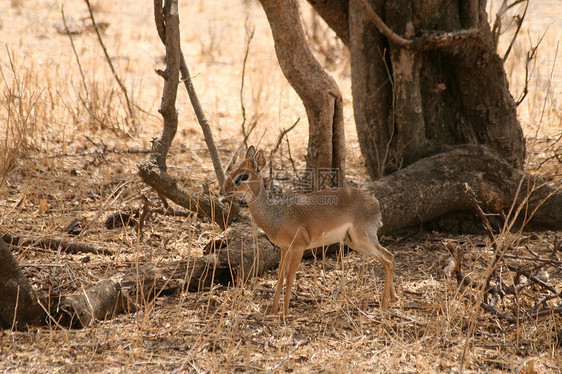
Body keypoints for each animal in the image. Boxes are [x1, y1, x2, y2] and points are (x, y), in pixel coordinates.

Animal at [218, 146, 394, 316]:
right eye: (234, 170)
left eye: (243, 175)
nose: (221, 191)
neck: (277, 215)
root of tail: (376, 203)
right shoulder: (284, 248)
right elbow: (280, 277)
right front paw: (273, 311)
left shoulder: (298, 247)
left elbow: (290, 278)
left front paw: (285, 313)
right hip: (354, 242)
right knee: (389, 257)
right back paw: (393, 298)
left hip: (363, 238)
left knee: (388, 257)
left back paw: (384, 305)